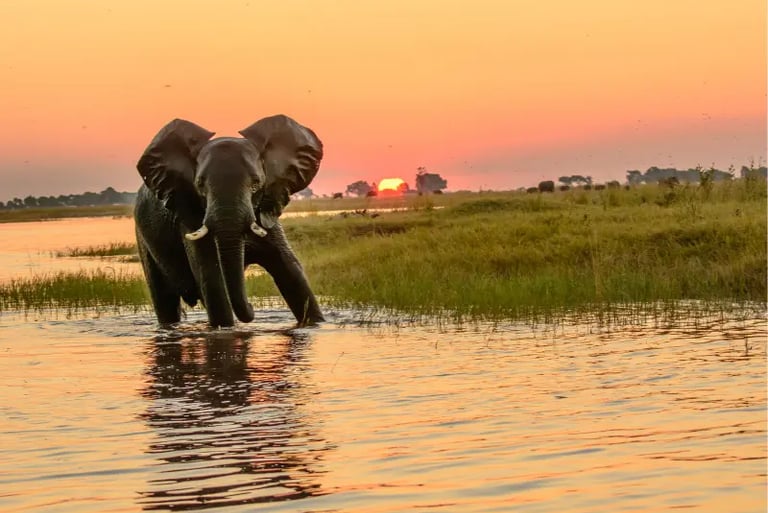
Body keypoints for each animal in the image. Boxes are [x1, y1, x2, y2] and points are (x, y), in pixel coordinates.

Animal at [134, 114, 324, 328]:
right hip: (143, 239)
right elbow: (212, 280)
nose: (252, 307)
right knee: (164, 299)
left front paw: (315, 325)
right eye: (200, 185)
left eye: (256, 183)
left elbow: (291, 271)